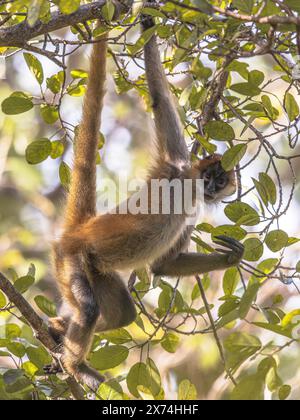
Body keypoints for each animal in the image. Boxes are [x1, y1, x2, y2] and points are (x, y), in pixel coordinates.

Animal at [47, 9, 244, 390]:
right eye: (211, 173)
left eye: (221, 179)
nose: (211, 185)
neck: (189, 188)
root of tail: (81, 228)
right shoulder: (176, 168)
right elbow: (158, 99)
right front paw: (148, 22)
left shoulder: (191, 208)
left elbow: (164, 266)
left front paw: (233, 257)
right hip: (70, 257)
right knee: (89, 309)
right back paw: (76, 365)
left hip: (97, 268)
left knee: (121, 314)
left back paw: (61, 328)